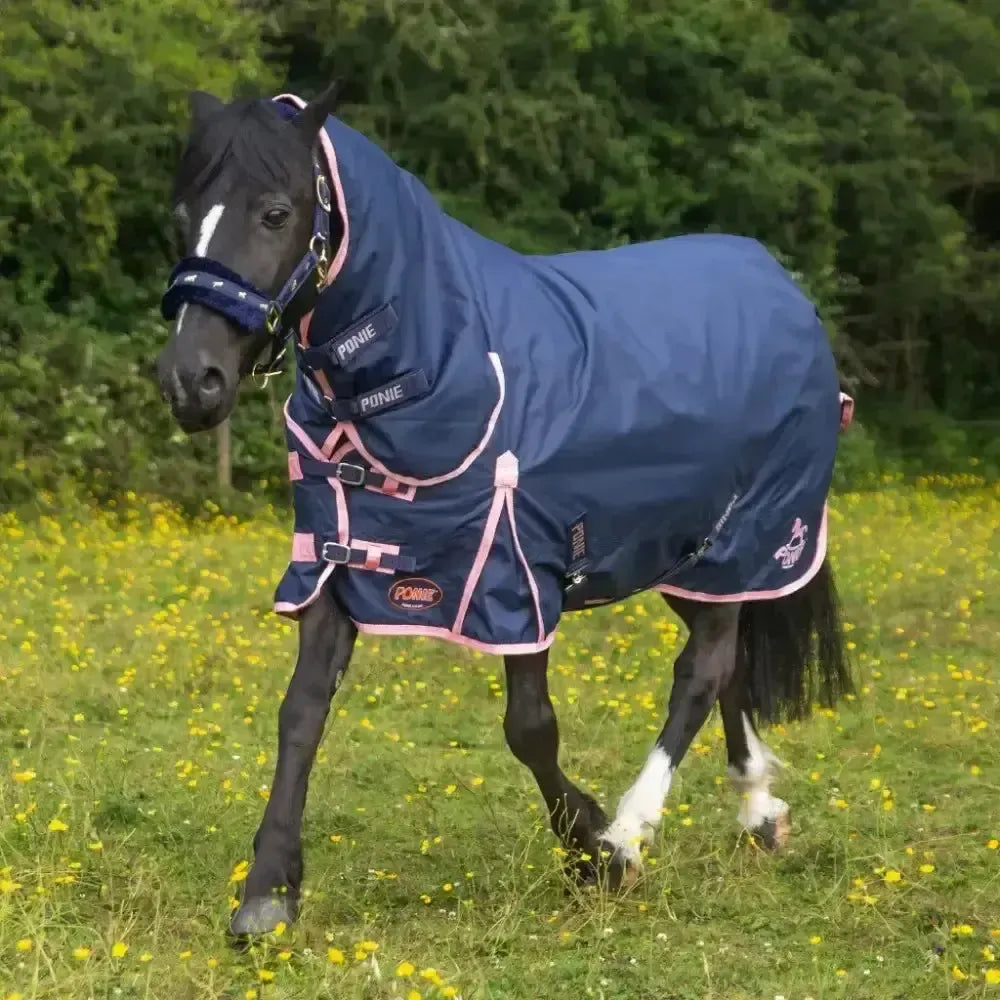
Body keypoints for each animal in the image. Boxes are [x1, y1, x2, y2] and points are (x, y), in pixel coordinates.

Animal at [155, 84, 854, 937]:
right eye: (184, 213)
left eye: (276, 212)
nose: (192, 381)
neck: (436, 362)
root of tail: (784, 290)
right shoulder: (332, 558)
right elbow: (301, 714)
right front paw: (267, 891)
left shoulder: (515, 570)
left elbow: (530, 728)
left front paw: (593, 845)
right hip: (684, 552)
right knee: (727, 664)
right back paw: (758, 810)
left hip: (744, 538)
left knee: (704, 669)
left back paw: (634, 832)